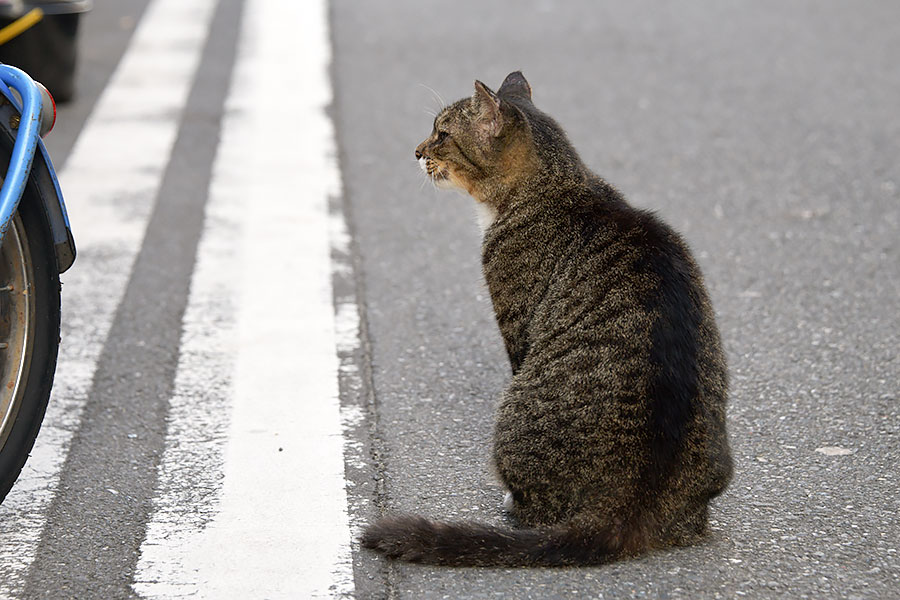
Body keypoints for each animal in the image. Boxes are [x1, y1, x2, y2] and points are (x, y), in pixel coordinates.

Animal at [362, 72, 736, 564]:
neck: (559, 185)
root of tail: (624, 509)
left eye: (441, 133)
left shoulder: (516, 320)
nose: (417, 150)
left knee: (535, 512)